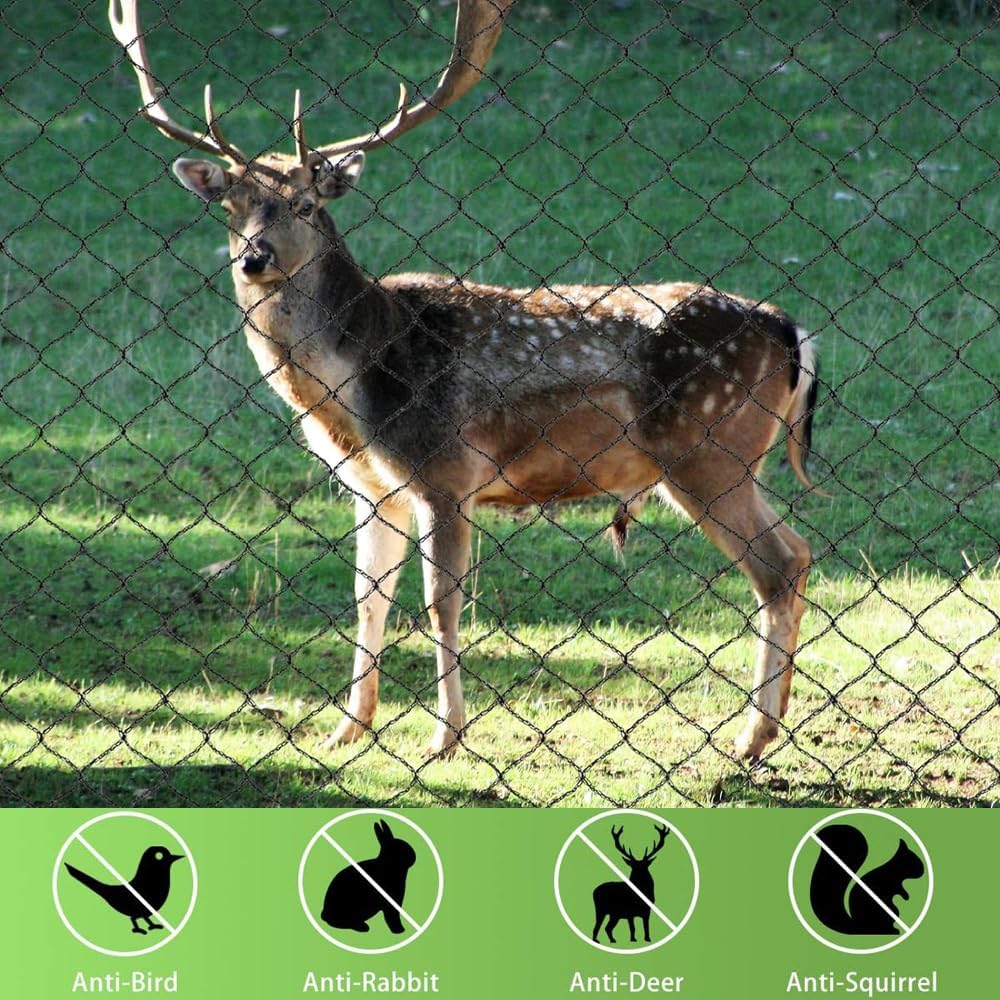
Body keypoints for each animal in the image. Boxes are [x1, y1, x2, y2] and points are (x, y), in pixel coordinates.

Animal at [109, 0, 817, 764]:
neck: (353, 389)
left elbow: (439, 602)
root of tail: (787, 328)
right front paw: (347, 727)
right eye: (232, 205)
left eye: (304, 203)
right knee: (802, 552)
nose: (254, 259)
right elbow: (367, 597)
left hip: (704, 450)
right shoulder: (374, 486)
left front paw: (445, 736)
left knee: (775, 568)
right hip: (735, 461)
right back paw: (768, 724)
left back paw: (750, 738)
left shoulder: (444, 473)